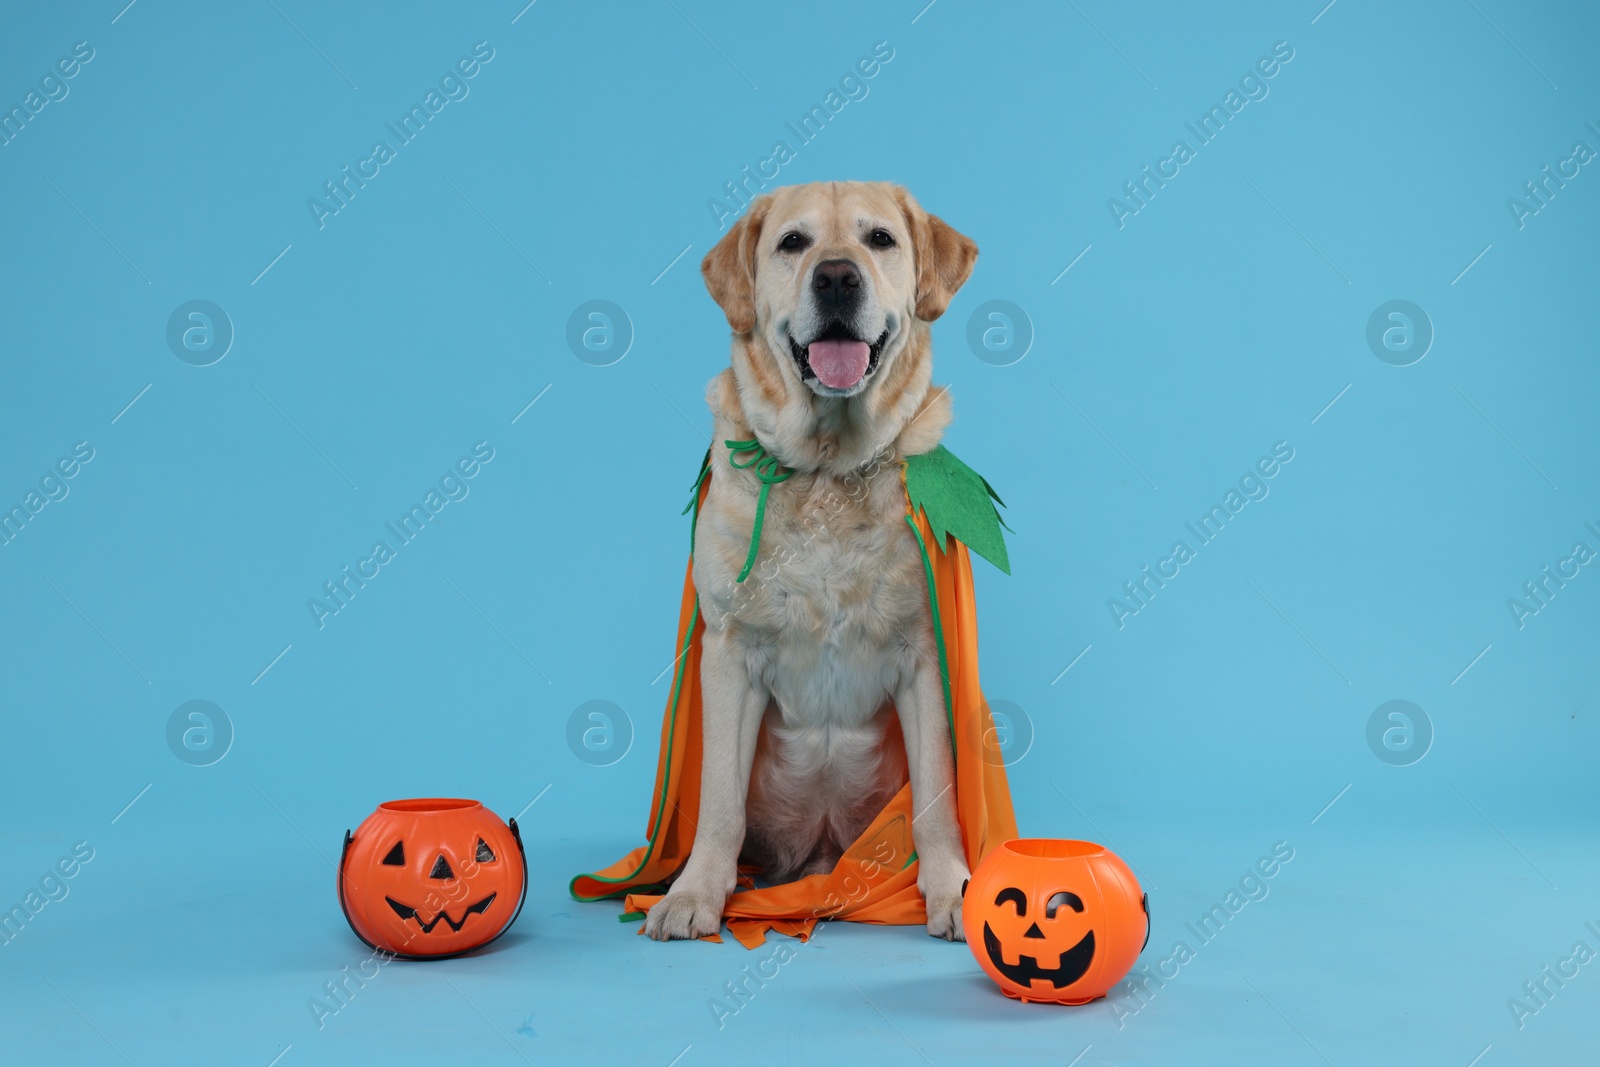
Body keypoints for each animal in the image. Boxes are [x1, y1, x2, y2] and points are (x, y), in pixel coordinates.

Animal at [646, 179, 972, 940]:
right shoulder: (730, 651)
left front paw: (949, 890)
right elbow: (719, 801)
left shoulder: (925, 655)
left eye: (880, 238)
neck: (828, 469)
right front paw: (695, 893)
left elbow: (936, 802)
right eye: (793, 243)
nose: (837, 277)